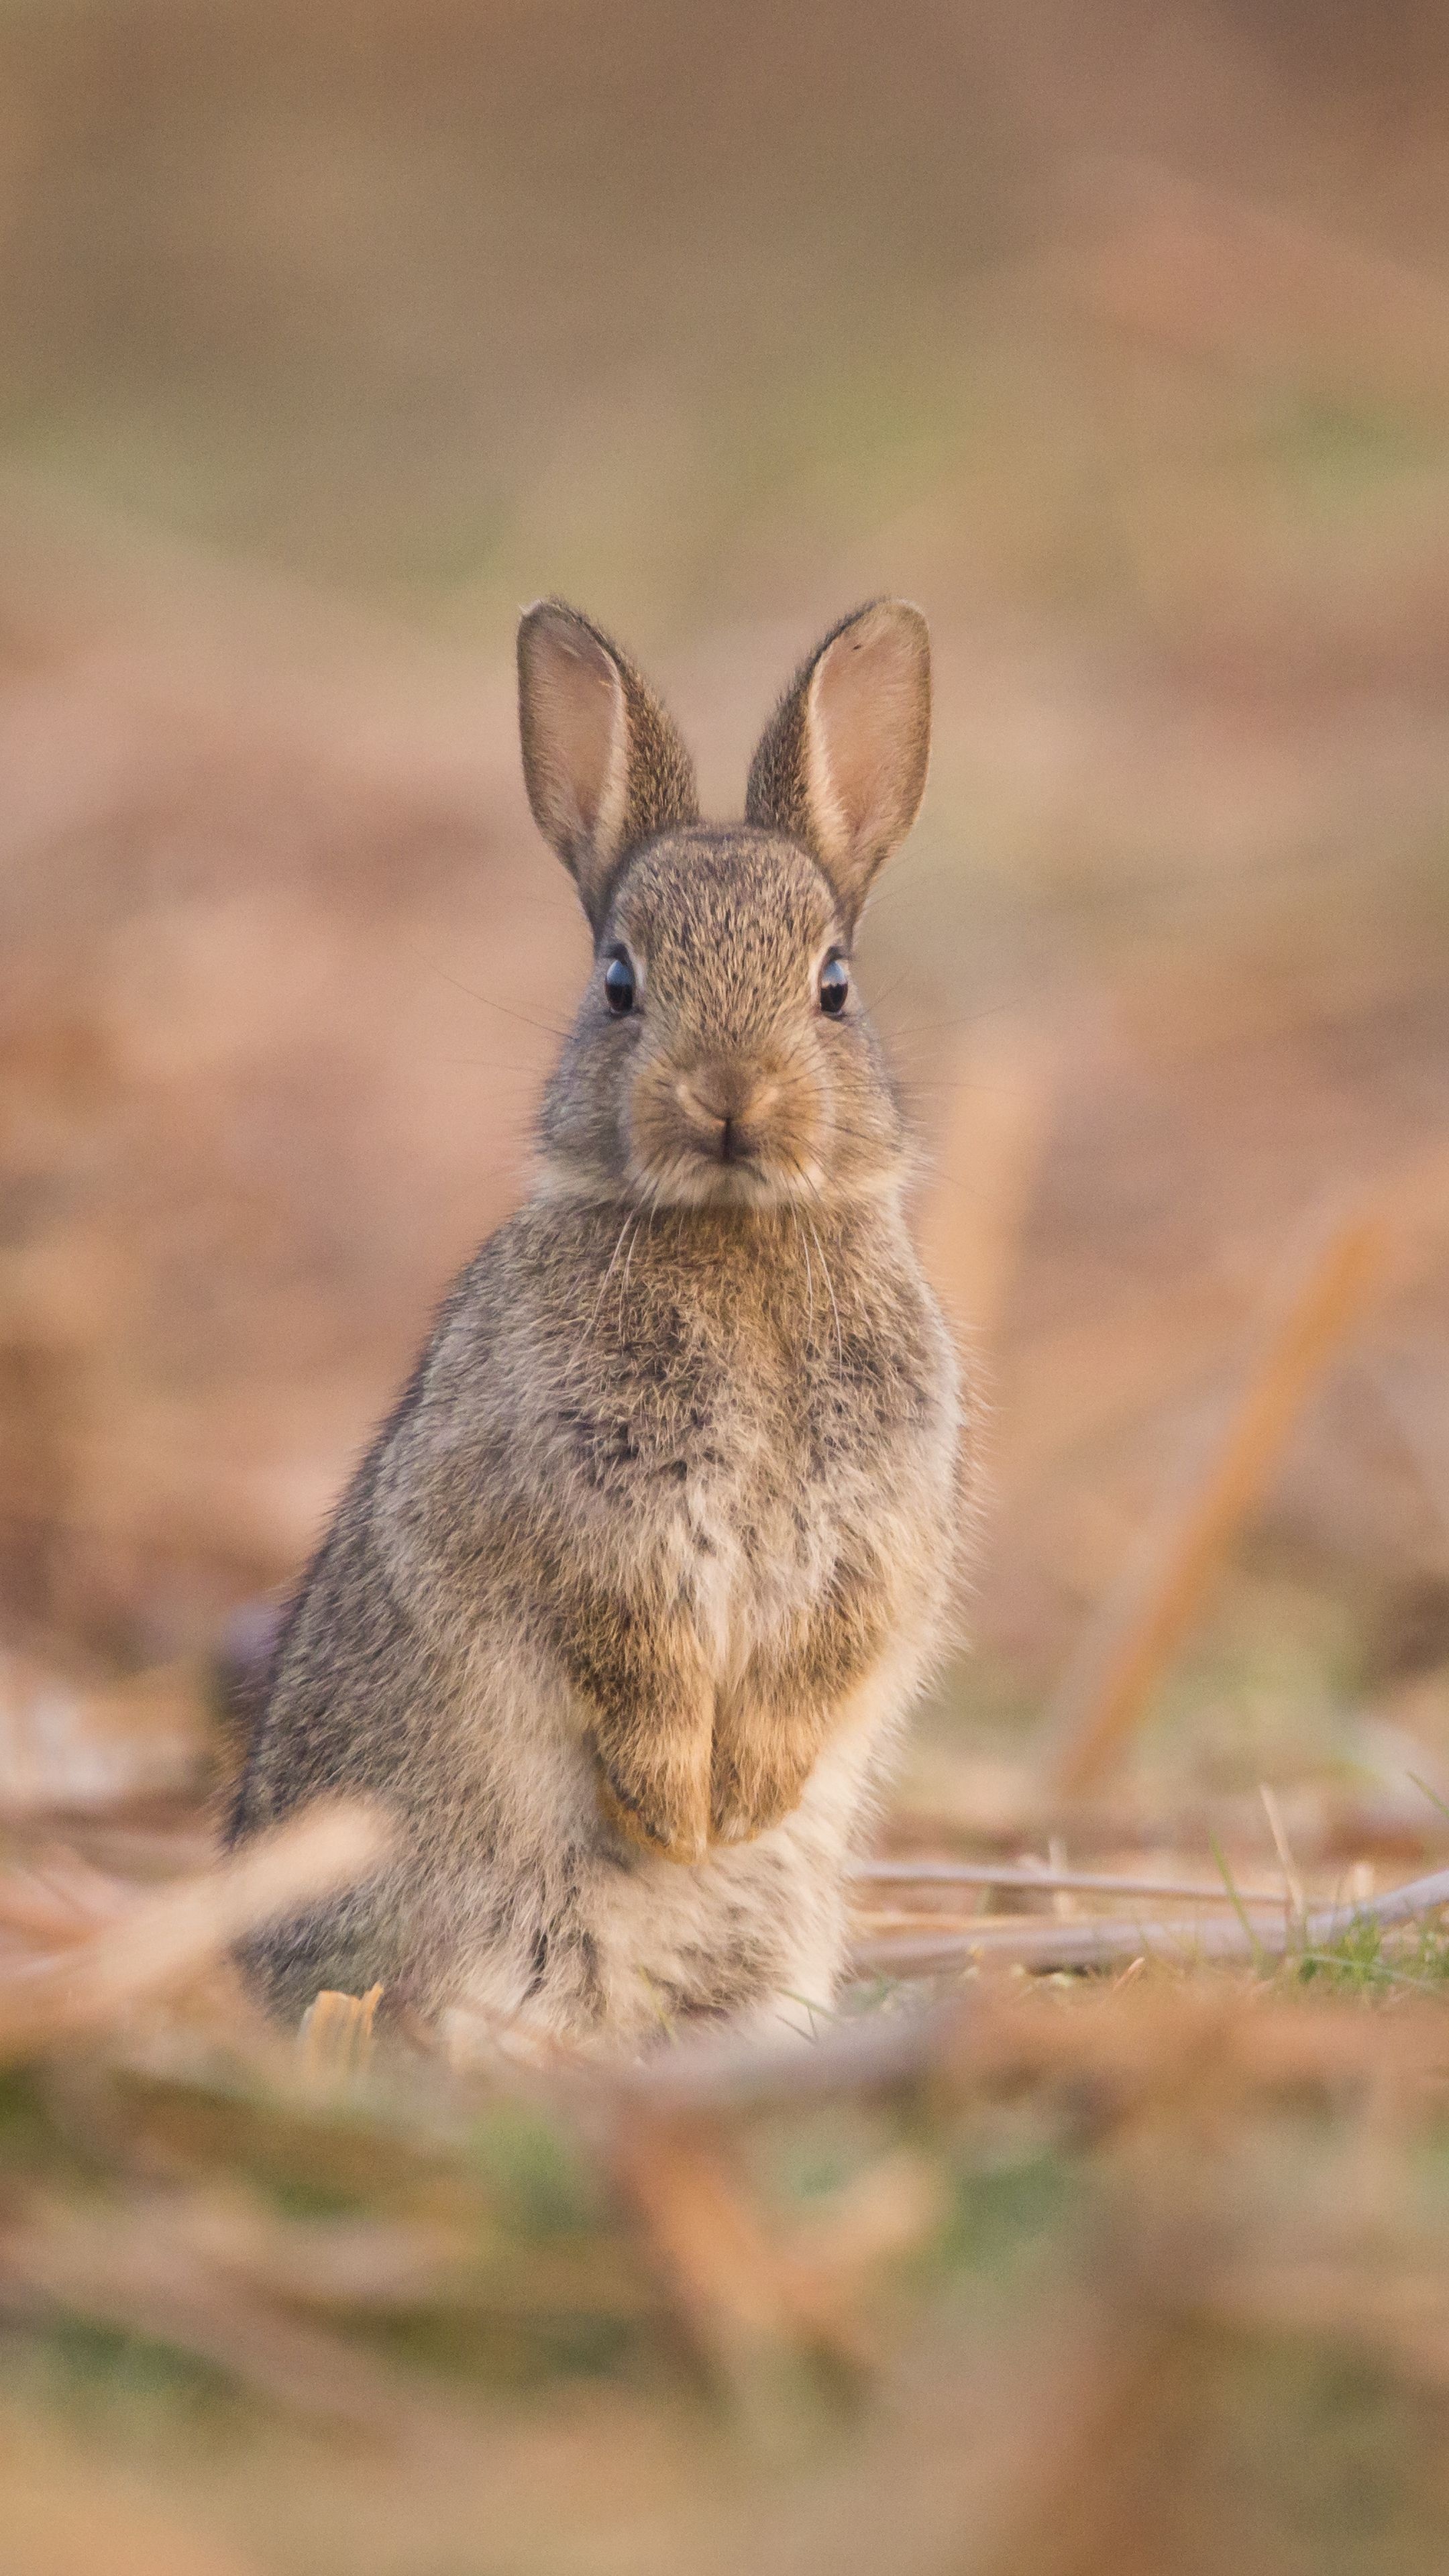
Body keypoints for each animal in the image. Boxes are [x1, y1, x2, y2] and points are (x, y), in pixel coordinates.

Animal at [230, 597, 964, 2050]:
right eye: (621, 981)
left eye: (834, 986)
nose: (730, 1097)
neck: (734, 1231)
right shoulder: (588, 1517)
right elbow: (633, 1658)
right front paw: (680, 1814)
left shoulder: (874, 1528)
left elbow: (824, 1654)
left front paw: (744, 1803)